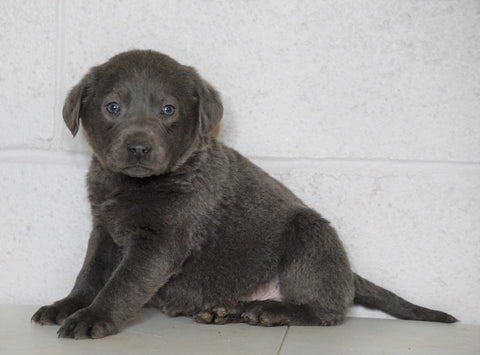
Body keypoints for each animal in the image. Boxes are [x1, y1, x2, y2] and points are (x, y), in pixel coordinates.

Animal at [31, 49, 458, 340]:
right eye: (113, 107)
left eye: (168, 110)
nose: (138, 148)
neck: (134, 184)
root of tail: (348, 273)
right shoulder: (104, 230)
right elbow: (89, 273)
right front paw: (66, 306)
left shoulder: (161, 241)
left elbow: (122, 283)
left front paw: (92, 318)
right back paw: (225, 311)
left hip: (311, 236)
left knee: (328, 310)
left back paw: (272, 310)